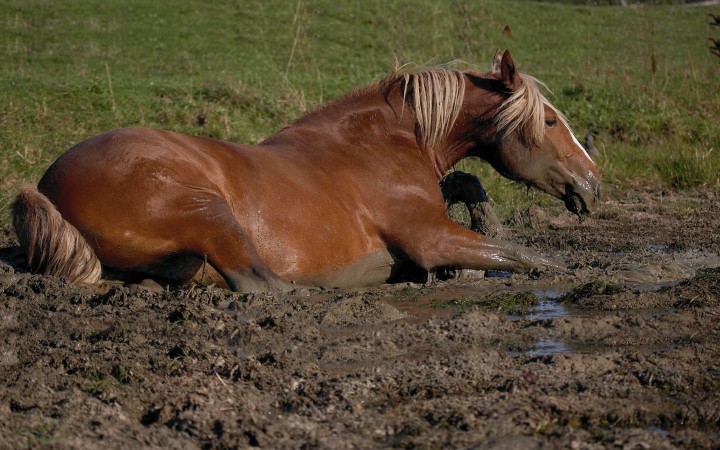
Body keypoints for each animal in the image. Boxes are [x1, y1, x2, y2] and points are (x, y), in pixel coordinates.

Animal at [12, 50, 600, 292]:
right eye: (550, 120)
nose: (592, 184)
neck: (381, 142)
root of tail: (46, 189)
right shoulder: (427, 235)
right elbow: (524, 254)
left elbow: (469, 188)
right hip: (207, 211)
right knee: (262, 283)